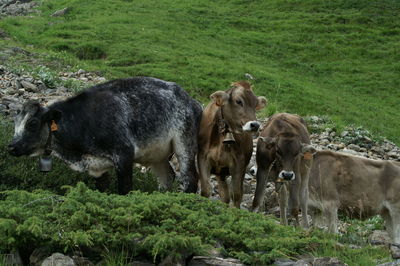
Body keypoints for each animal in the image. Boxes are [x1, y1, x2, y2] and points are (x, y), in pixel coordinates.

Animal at [8, 76, 203, 194]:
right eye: (15, 123)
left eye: (33, 124)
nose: (11, 147)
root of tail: (193, 102)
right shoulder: (98, 169)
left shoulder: (124, 155)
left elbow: (124, 189)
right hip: (158, 156)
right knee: (166, 178)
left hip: (185, 144)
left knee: (189, 179)